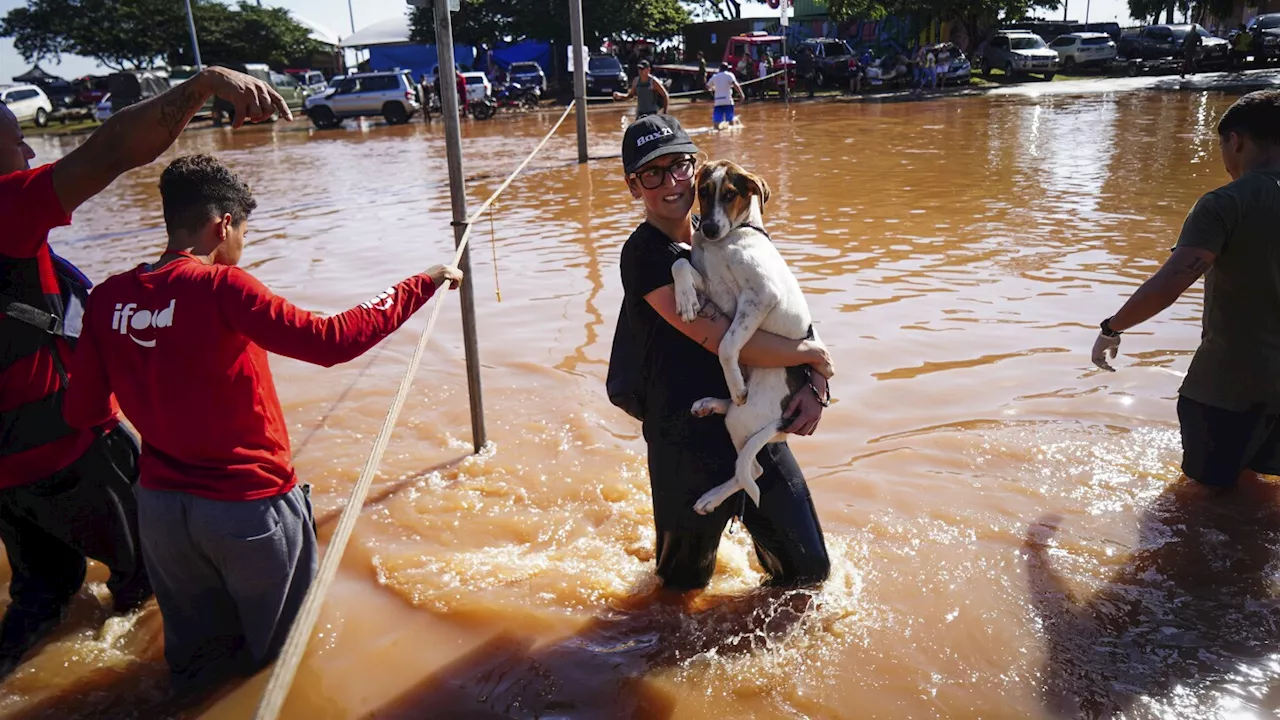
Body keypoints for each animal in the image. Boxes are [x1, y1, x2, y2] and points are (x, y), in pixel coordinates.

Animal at [670, 159, 819, 512]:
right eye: (703, 191)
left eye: (730, 195)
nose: (708, 228)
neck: (728, 240)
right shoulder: (710, 285)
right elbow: (679, 265)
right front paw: (685, 300)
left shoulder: (760, 296)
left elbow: (727, 346)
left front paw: (736, 386)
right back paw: (711, 403)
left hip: (745, 416)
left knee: (752, 470)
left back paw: (711, 497)